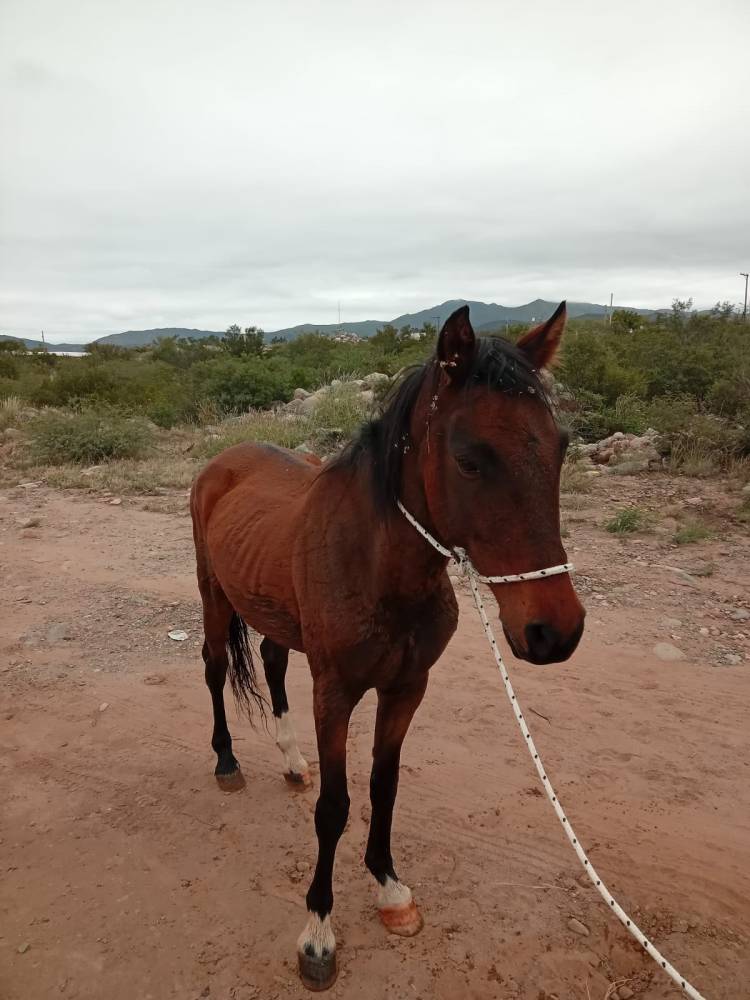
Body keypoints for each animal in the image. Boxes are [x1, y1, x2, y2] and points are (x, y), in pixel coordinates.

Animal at [189, 302, 585, 990]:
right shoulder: (335, 694)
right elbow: (335, 806)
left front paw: (389, 887)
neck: (380, 566)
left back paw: (290, 760)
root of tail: (224, 461)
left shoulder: (405, 689)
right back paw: (227, 761)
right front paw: (318, 932)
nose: (555, 631)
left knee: (270, 661)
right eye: (470, 459)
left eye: (560, 448)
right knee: (215, 670)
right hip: (213, 594)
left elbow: (383, 786)